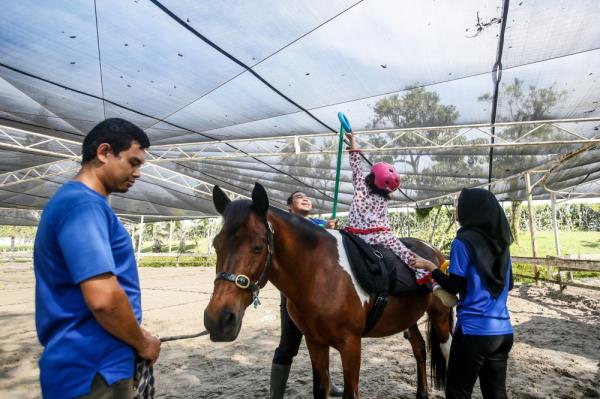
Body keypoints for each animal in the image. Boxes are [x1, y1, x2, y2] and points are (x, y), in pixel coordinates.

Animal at [204, 183, 452, 398]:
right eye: (216, 245)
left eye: (257, 247)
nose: (218, 320)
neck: (319, 274)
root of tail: (433, 251)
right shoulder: (315, 343)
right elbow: (320, 389)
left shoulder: (351, 345)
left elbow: (351, 394)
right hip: (409, 318)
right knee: (419, 348)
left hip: (440, 316)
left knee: (446, 350)